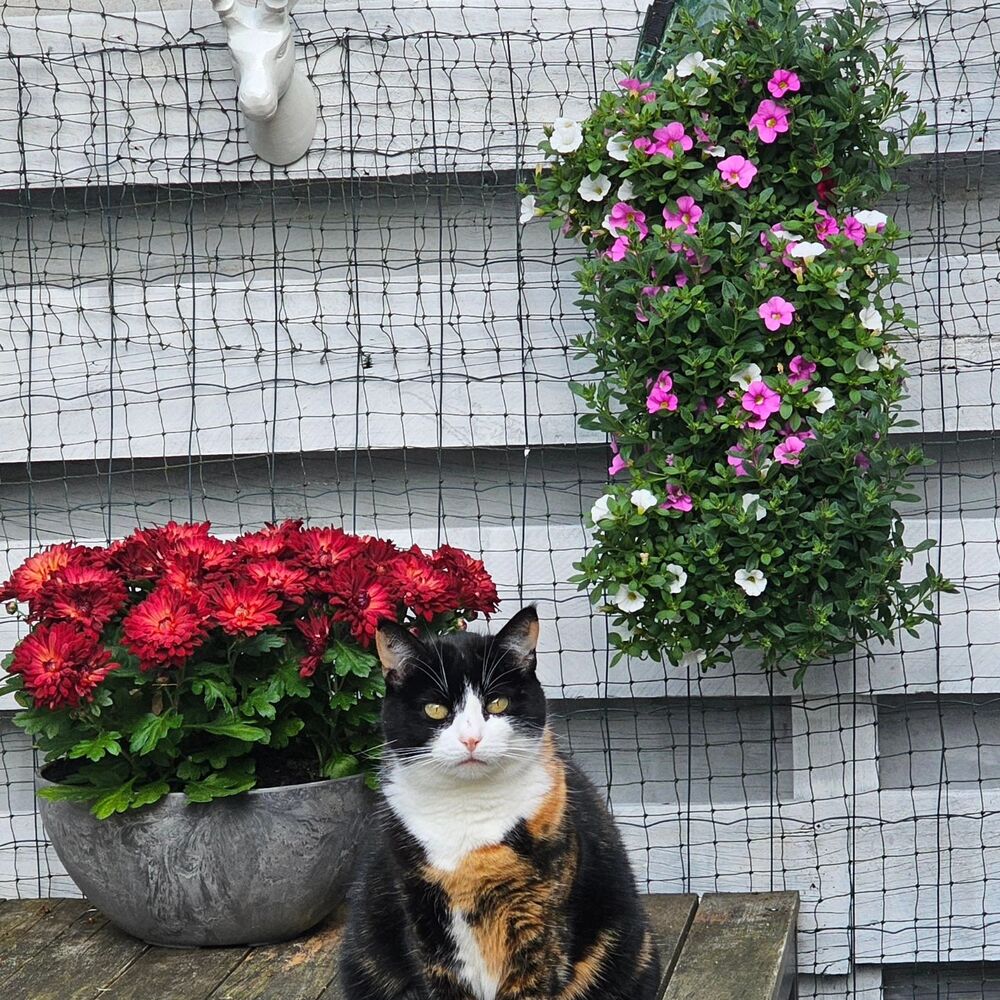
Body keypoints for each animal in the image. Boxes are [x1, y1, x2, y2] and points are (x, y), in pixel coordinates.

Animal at [340, 604, 660, 996]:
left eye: (497, 702)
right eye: (435, 710)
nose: (471, 739)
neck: (466, 811)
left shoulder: (539, 914)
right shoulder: (422, 913)